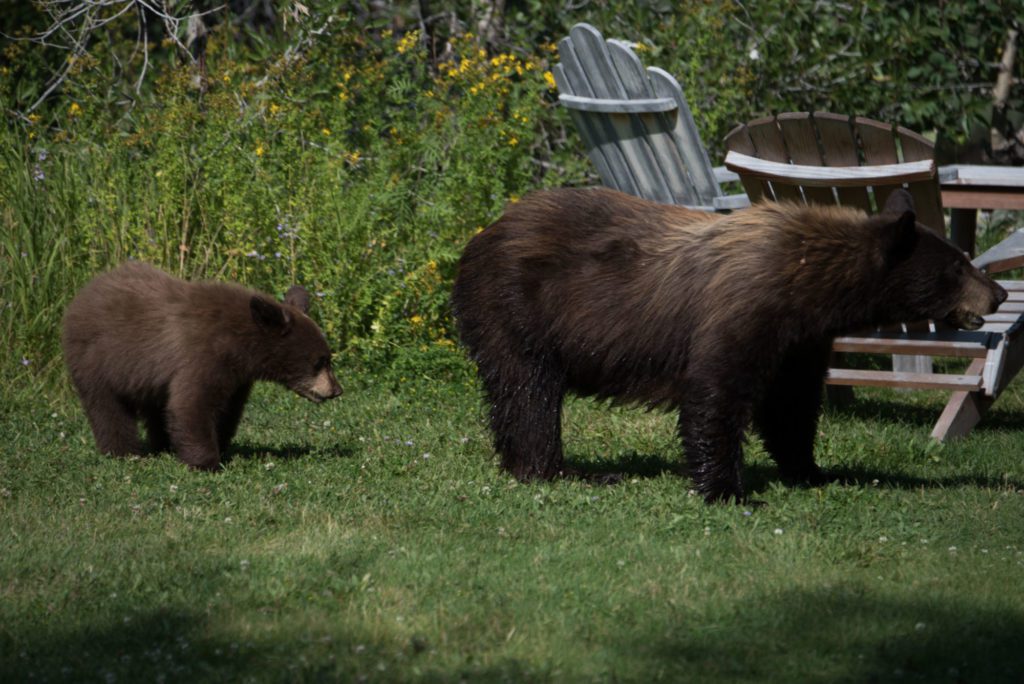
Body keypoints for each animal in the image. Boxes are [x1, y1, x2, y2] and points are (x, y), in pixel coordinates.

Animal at [62, 261, 342, 469]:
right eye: (320, 361)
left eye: (327, 358)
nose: (337, 390)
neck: (238, 343)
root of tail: (83, 293)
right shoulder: (202, 357)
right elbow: (192, 404)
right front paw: (207, 463)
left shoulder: (237, 377)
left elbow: (227, 409)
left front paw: (219, 447)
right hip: (95, 361)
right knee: (107, 408)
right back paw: (124, 452)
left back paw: (163, 446)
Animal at [451, 187, 1007, 502]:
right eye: (959, 266)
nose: (1000, 292)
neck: (809, 281)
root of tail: (478, 238)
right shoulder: (745, 306)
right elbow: (717, 393)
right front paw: (727, 491)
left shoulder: (801, 337)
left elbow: (790, 404)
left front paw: (812, 471)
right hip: (517, 307)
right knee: (529, 391)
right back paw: (562, 471)